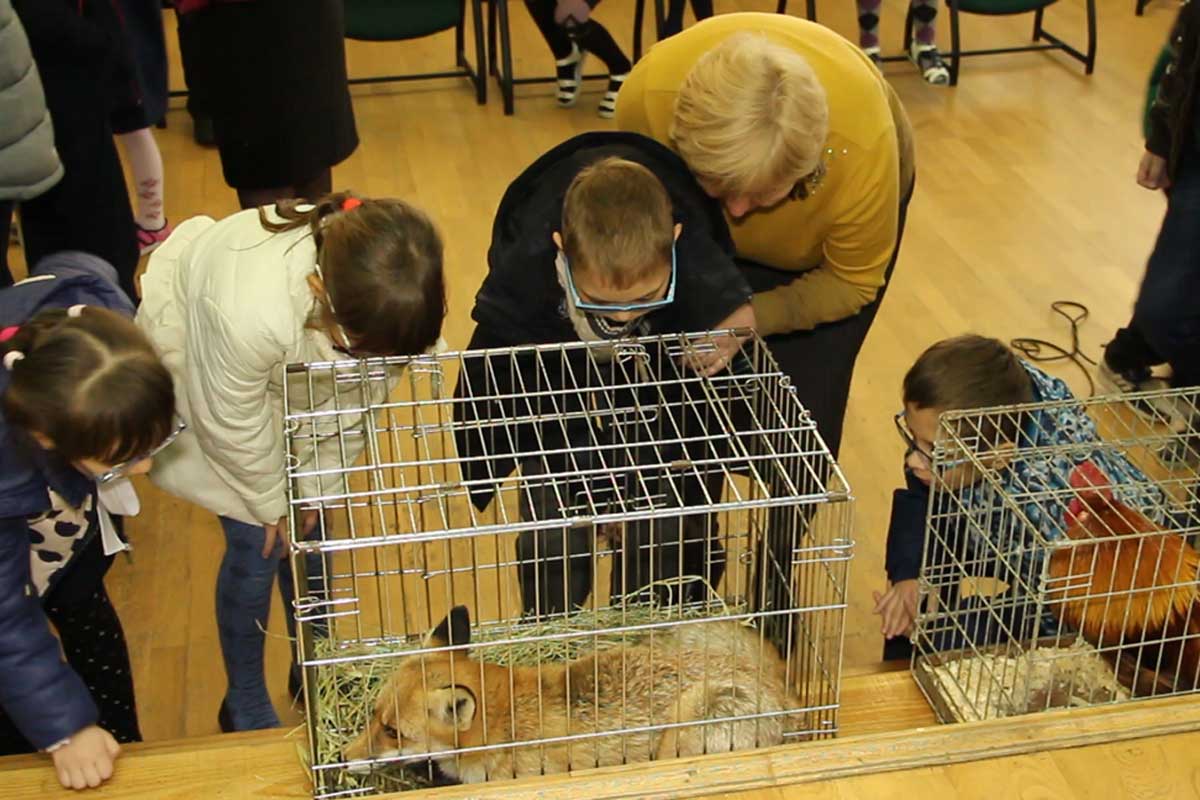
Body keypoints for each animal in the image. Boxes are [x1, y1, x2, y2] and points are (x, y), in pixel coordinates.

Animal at [343, 606, 801, 782]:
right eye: (373, 715)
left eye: (393, 732)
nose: (342, 759)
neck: (504, 726)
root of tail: (781, 687)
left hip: (689, 731)